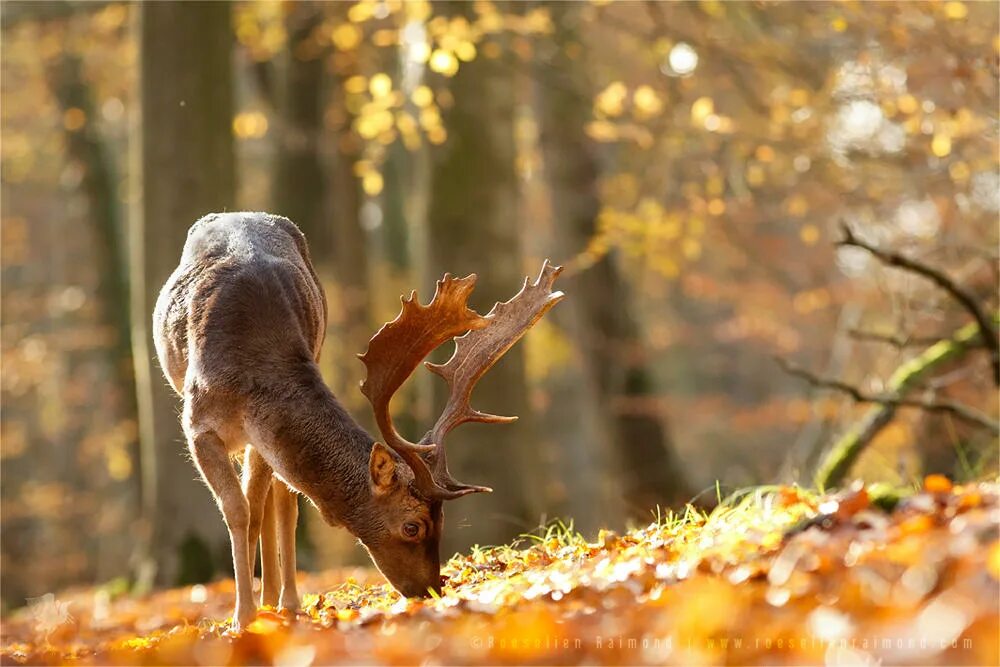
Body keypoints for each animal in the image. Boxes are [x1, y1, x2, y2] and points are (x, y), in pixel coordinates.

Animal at [154, 211, 564, 628]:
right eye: (413, 526)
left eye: (444, 522)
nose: (430, 589)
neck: (254, 366)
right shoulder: (199, 423)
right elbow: (238, 510)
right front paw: (243, 618)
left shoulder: (260, 432)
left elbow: (260, 507)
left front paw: (261, 610)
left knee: (282, 500)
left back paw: (284, 601)